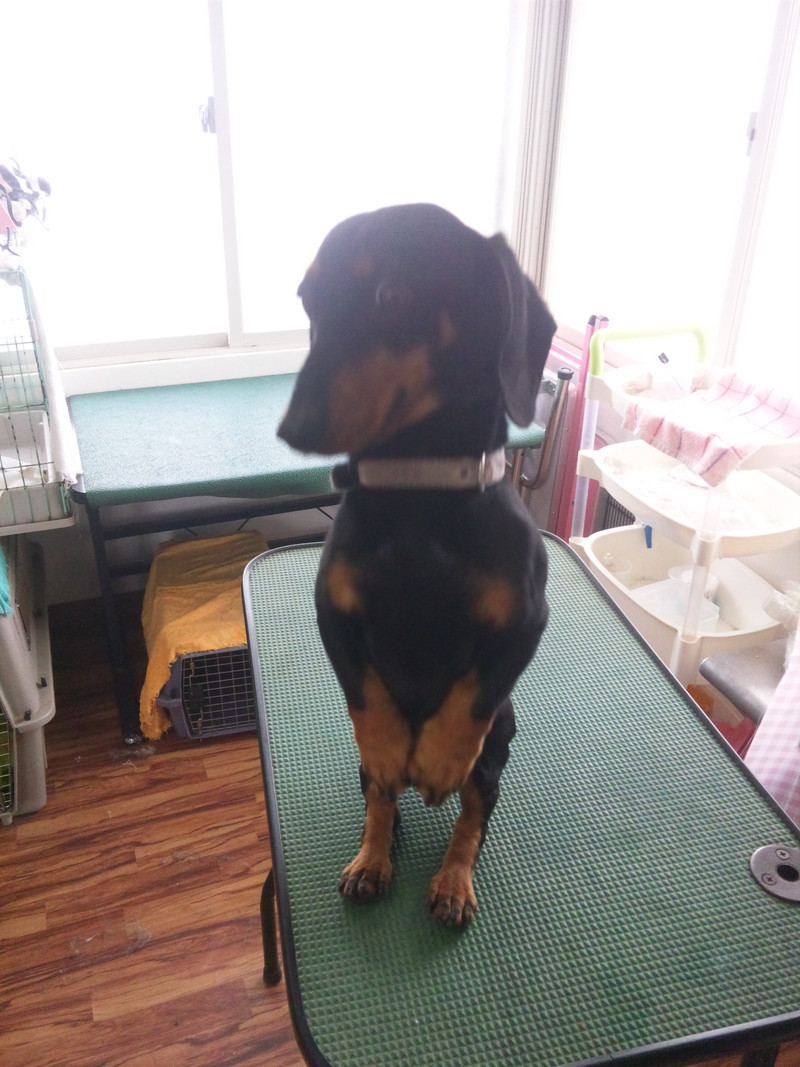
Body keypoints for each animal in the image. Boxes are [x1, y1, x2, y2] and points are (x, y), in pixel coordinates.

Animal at [278, 204, 555, 927]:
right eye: (307, 300)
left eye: (389, 295)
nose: (293, 428)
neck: (417, 495)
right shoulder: (332, 611)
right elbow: (366, 697)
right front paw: (391, 745)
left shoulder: (528, 620)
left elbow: (475, 692)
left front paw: (435, 755)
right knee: (379, 804)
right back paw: (372, 860)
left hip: (498, 754)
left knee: (473, 820)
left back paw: (453, 881)